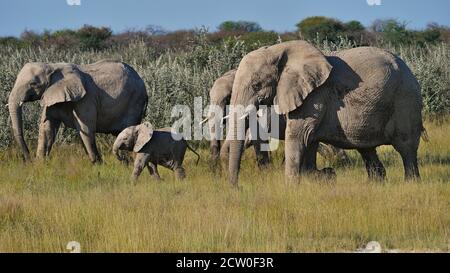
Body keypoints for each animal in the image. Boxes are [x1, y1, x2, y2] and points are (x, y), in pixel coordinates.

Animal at [8, 59, 149, 162]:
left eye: (33, 84)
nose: (28, 159)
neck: (52, 66)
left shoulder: (86, 98)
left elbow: (86, 128)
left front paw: (97, 164)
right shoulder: (53, 96)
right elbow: (46, 127)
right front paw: (40, 164)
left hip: (135, 101)